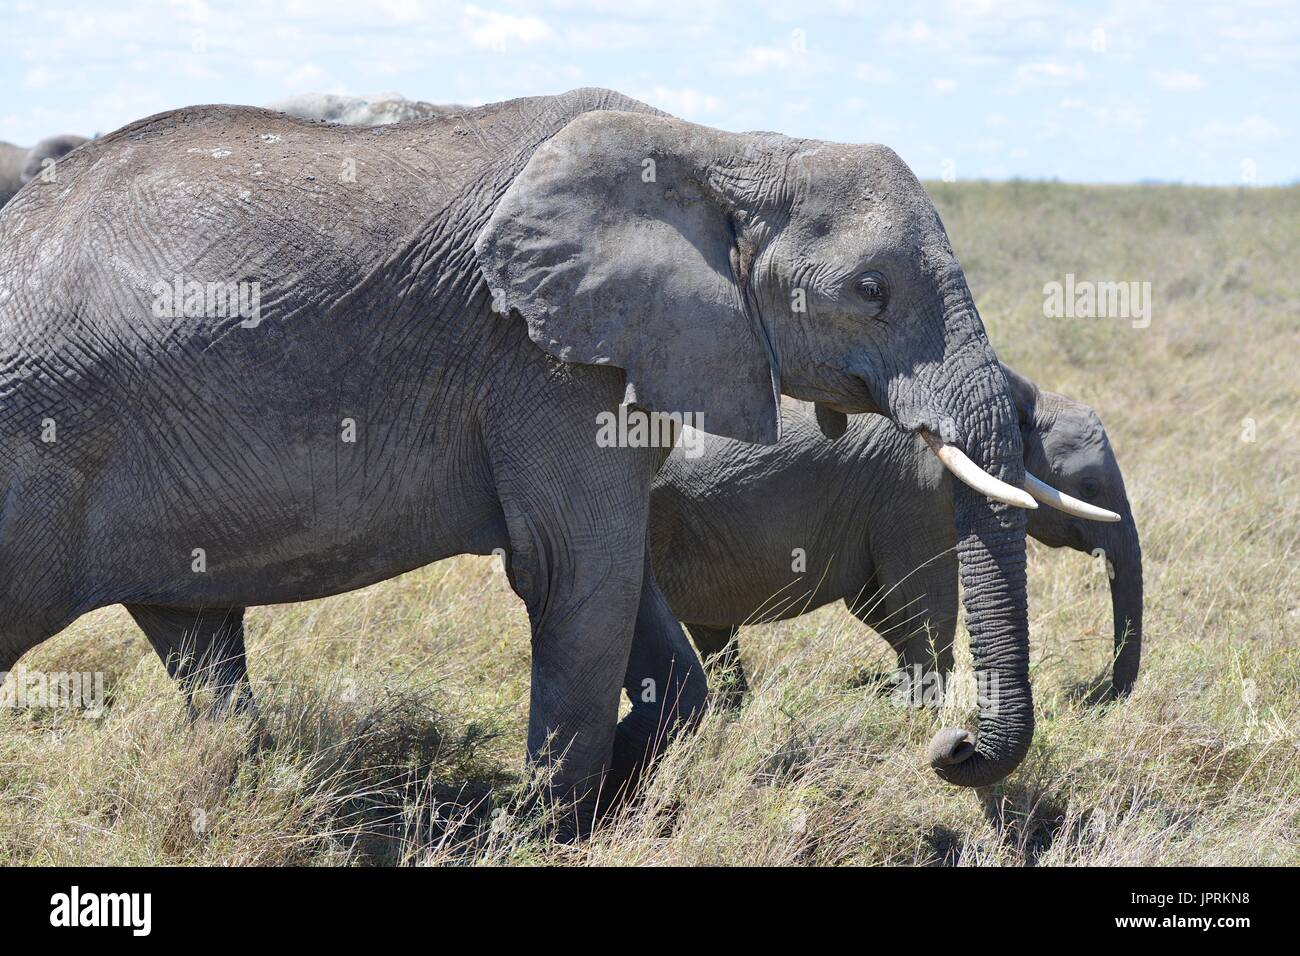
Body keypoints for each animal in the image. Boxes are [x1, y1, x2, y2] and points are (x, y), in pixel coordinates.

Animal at [0, 85, 1066, 832]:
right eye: (871, 289)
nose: (949, 745)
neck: (722, 147)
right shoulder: (540, 360)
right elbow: (575, 574)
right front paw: (548, 830)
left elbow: (632, 605)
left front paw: (620, 782)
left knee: (195, 633)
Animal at [655, 361, 1144, 707]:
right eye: (1089, 486)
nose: (1104, 697)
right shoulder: (916, 485)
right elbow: (923, 597)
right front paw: (917, 712)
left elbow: (878, 604)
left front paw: (897, 697)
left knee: (713, 634)